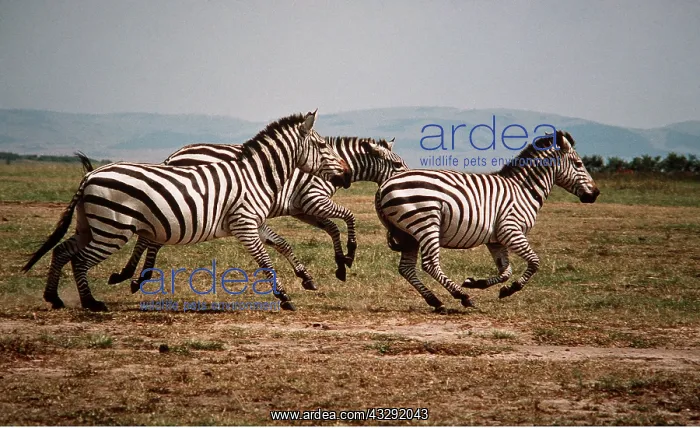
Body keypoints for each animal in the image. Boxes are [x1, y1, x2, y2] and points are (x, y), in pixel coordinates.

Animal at [22, 110, 350, 312]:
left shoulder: (254, 222)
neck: (255, 176)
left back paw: (53, 297)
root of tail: (90, 175)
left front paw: (305, 279)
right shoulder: (245, 224)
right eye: (323, 145)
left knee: (62, 251)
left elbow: (282, 245)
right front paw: (284, 297)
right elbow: (265, 261)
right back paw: (91, 303)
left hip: (90, 225)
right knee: (79, 260)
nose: (345, 173)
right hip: (112, 230)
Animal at [108, 137, 409, 293]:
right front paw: (349, 254)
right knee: (152, 237)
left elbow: (332, 228)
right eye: (396, 165)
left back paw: (132, 275)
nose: (407, 180)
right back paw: (137, 275)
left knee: (149, 235)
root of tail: (174, 156)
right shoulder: (313, 199)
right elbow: (348, 217)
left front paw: (339, 264)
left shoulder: (303, 209)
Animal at [375, 130, 600, 312]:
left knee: (406, 268)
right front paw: (510, 289)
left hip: (407, 233)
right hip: (426, 223)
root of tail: (383, 186)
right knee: (430, 264)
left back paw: (436, 301)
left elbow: (506, 271)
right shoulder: (511, 231)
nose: (596, 194)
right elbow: (534, 262)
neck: (524, 190)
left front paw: (476, 283)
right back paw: (462, 297)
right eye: (579, 164)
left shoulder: (496, 240)